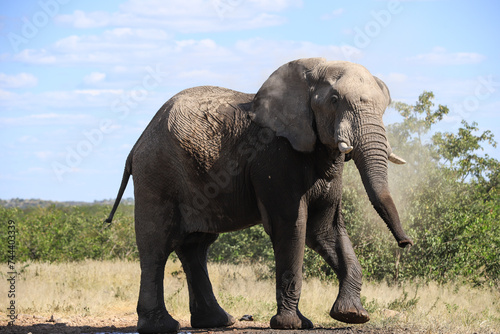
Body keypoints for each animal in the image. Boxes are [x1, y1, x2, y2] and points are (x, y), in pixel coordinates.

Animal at [104, 58, 410, 332]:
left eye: (384, 106)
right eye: (335, 100)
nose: (405, 243)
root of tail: (137, 144)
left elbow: (324, 230)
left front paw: (352, 316)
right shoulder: (274, 157)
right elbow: (292, 227)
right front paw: (292, 325)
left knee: (195, 246)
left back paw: (217, 322)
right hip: (157, 173)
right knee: (157, 245)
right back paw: (161, 326)